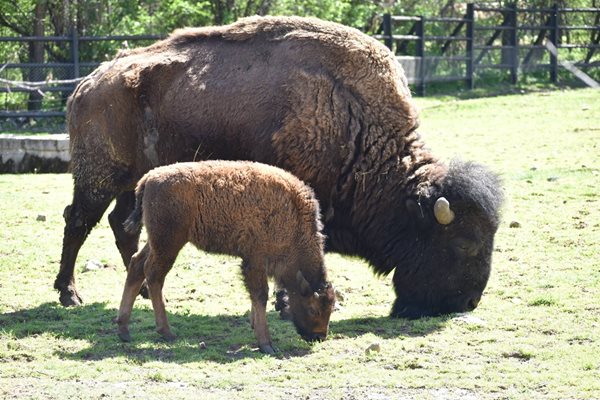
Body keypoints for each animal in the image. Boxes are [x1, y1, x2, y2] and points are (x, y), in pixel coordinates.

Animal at [56, 15, 504, 318]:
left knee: (122, 227)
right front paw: (289, 303)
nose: (467, 302)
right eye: (465, 243)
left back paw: (145, 292)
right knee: (78, 221)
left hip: (133, 183)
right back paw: (69, 294)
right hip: (98, 177)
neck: (351, 118)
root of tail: (88, 83)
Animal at [115, 159, 336, 354]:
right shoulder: (255, 261)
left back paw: (124, 330)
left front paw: (254, 327)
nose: (319, 337)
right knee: (154, 275)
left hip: (157, 242)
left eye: (331, 308)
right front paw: (266, 344)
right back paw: (166, 332)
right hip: (168, 244)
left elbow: (256, 297)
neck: (293, 218)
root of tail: (148, 178)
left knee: (136, 265)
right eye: (313, 309)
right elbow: (260, 296)